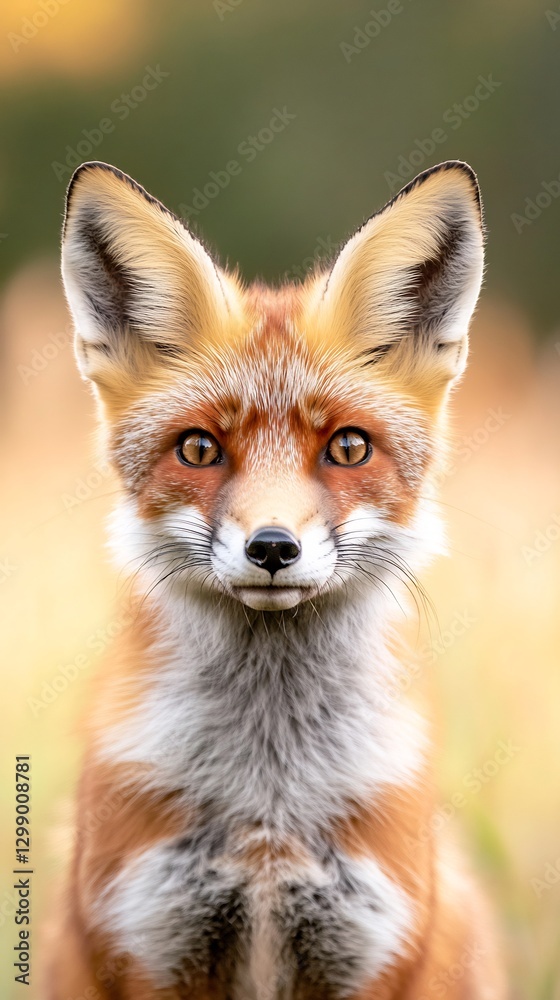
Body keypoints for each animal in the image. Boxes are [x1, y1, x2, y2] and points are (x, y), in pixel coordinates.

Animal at [44, 158, 505, 999]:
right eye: (199, 449)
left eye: (348, 448)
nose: (271, 547)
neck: (269, 801)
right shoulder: (148, 942)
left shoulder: (373, 949)